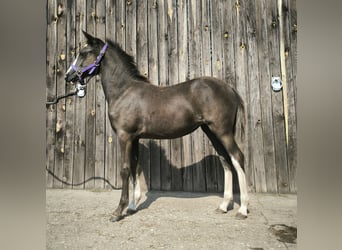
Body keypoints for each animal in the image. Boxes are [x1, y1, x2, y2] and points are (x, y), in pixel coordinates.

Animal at [64, 31, 248, 221]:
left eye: (84, 53)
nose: (68, 76)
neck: (124, 91)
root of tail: (230, 89)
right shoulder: (134, 138)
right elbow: (135, 166)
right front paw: (132, 207)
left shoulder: (124, 136)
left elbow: (125, 169)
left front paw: (118, 211)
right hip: (211, 132)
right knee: (226, 160)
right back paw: (224, 206)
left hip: (222, 131)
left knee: (238, 157)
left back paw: (242, 210)